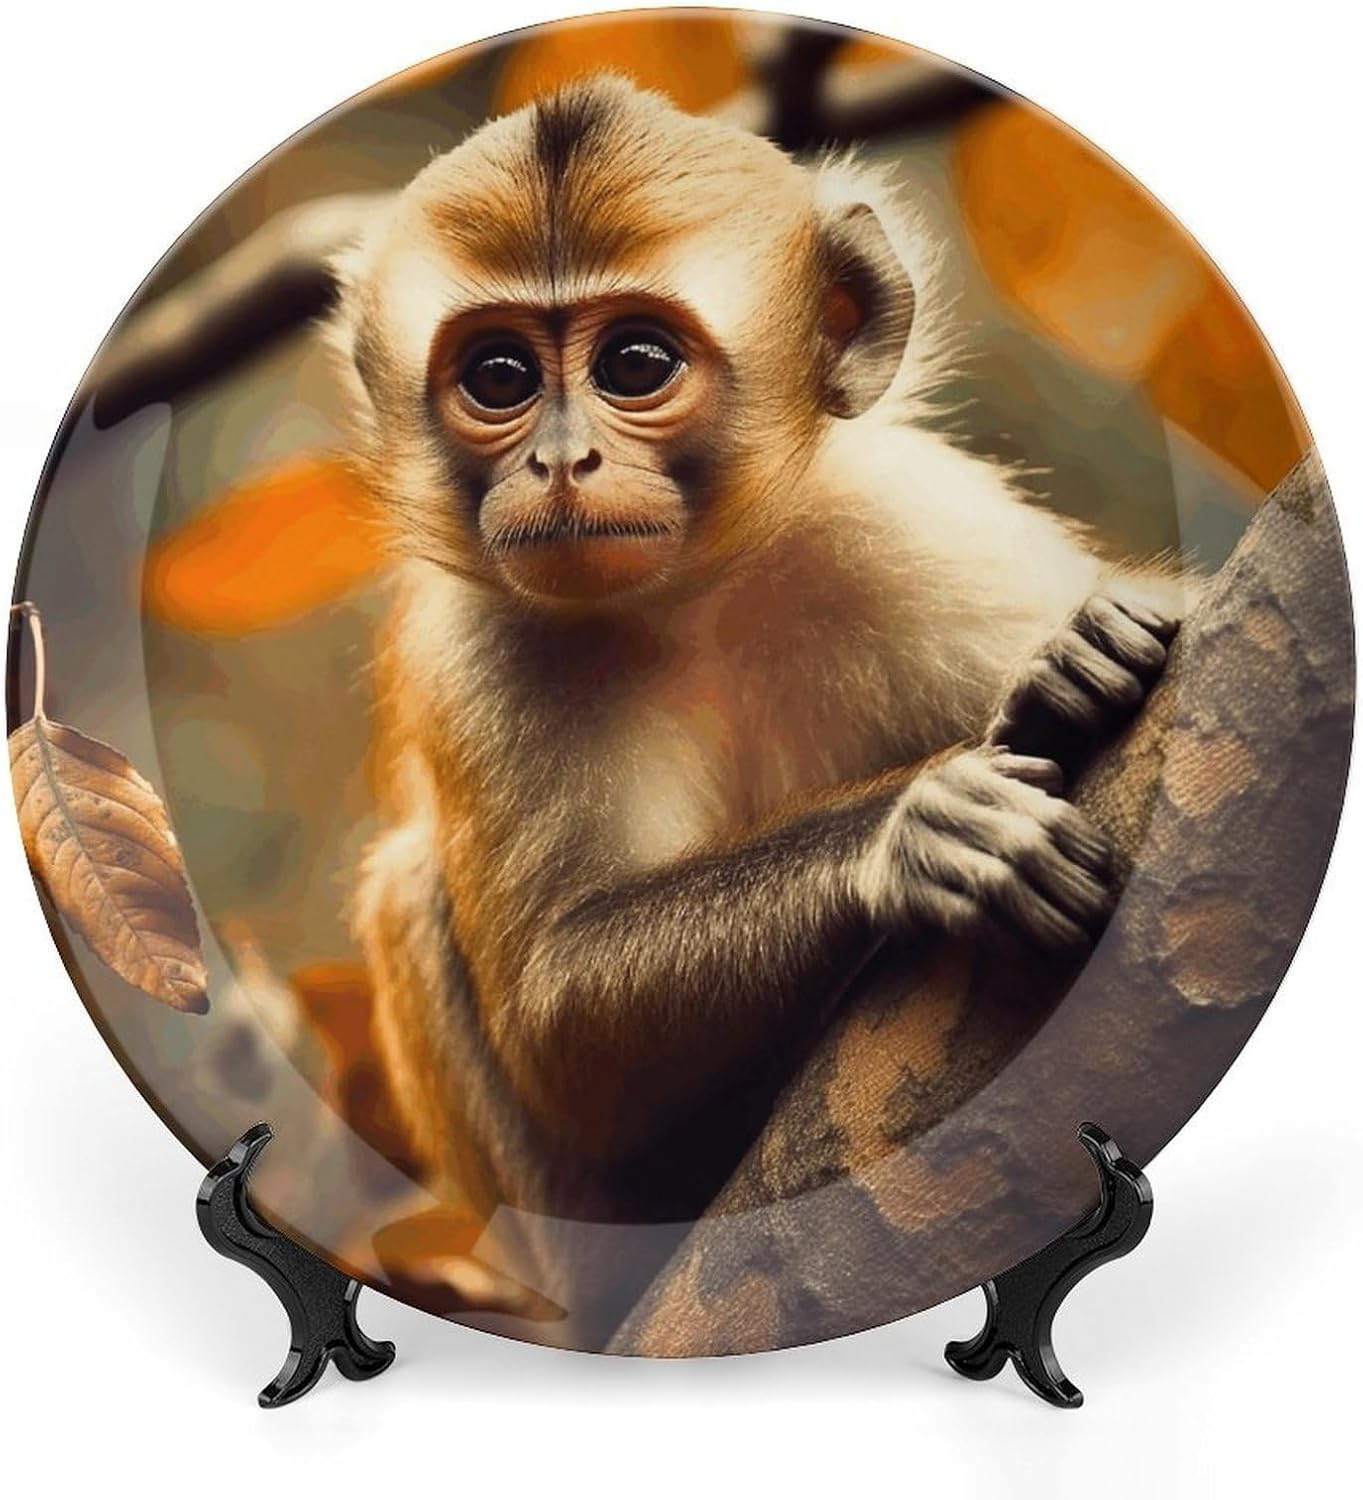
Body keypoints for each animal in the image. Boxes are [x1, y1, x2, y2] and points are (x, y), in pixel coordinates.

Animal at [331, 76, 1191, 1342]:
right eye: (497, 378)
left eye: (636, 362)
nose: (559, 463)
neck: (700, 597)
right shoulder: (480, 653)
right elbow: (559, 1029)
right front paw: (916, 834)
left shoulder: (913, 527)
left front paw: (1074, 661)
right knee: (409, 886)